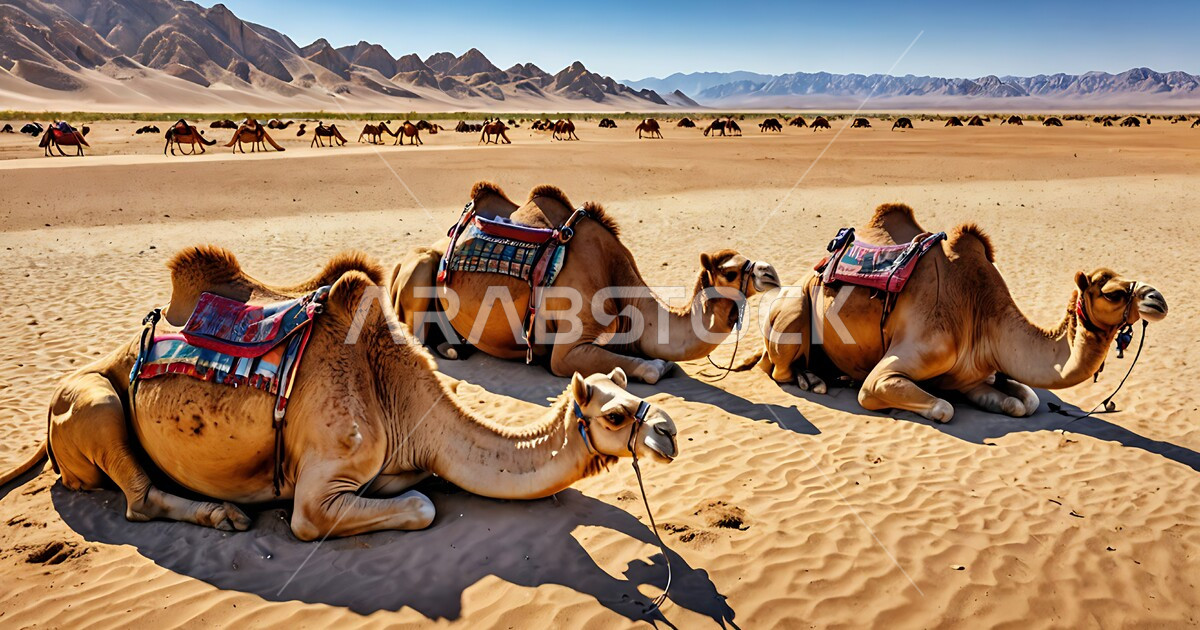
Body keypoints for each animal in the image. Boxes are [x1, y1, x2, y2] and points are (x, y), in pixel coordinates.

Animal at [0, 247, 678, 539]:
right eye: (616, 413)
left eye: (625, 388)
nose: (668, 432)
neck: (399, 402)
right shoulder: (321, 486)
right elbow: (420, 507)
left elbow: (415, 488)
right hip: (92, 401)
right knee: (136, 495)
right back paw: (224, 515)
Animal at [389, 182, 780, 384]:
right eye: (730, 271)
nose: (771, 274)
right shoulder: (567, 351)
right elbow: (651, 368)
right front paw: (658, 366)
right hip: (421, 266)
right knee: (415, 337)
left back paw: (457, 346)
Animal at [740, 203, 1168, 423]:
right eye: (1114, 293)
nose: (1158, 300)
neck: (981, 314)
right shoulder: (899, 365)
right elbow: (942, 407)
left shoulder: (974, 372)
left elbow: (1025, 401)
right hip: (795, 306)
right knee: (777, 368)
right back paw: (815, 379)